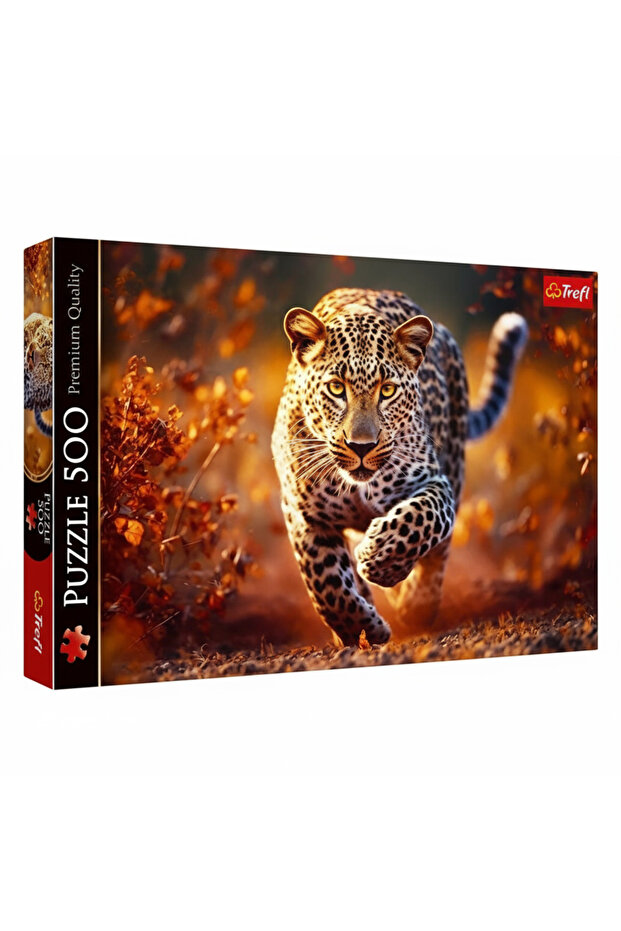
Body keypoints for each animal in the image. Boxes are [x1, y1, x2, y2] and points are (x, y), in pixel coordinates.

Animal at [271, 287, 528, 647]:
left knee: (439, 552)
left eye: (388, 390)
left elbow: (422, 518)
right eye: (336, 388)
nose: (361, 446)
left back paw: (417, 604)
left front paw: (380, 559)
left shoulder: (435, 482)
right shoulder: (303, 513)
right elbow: (326, 582)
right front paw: (361, 629)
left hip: (455, 461)